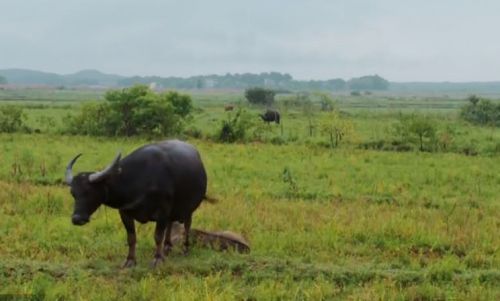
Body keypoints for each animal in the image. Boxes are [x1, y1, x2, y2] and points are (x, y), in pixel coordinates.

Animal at [65, 139, 209, 266]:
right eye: (73, 193)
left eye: (89, 192)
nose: (77, 219)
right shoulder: (125, 212)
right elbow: (131, 238)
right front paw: (130, 260)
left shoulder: (162, 212)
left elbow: (158, 236)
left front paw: (158, 258)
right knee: (170, 223)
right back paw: (167, 246)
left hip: (189, 208)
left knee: (187, 225)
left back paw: (185, 248)